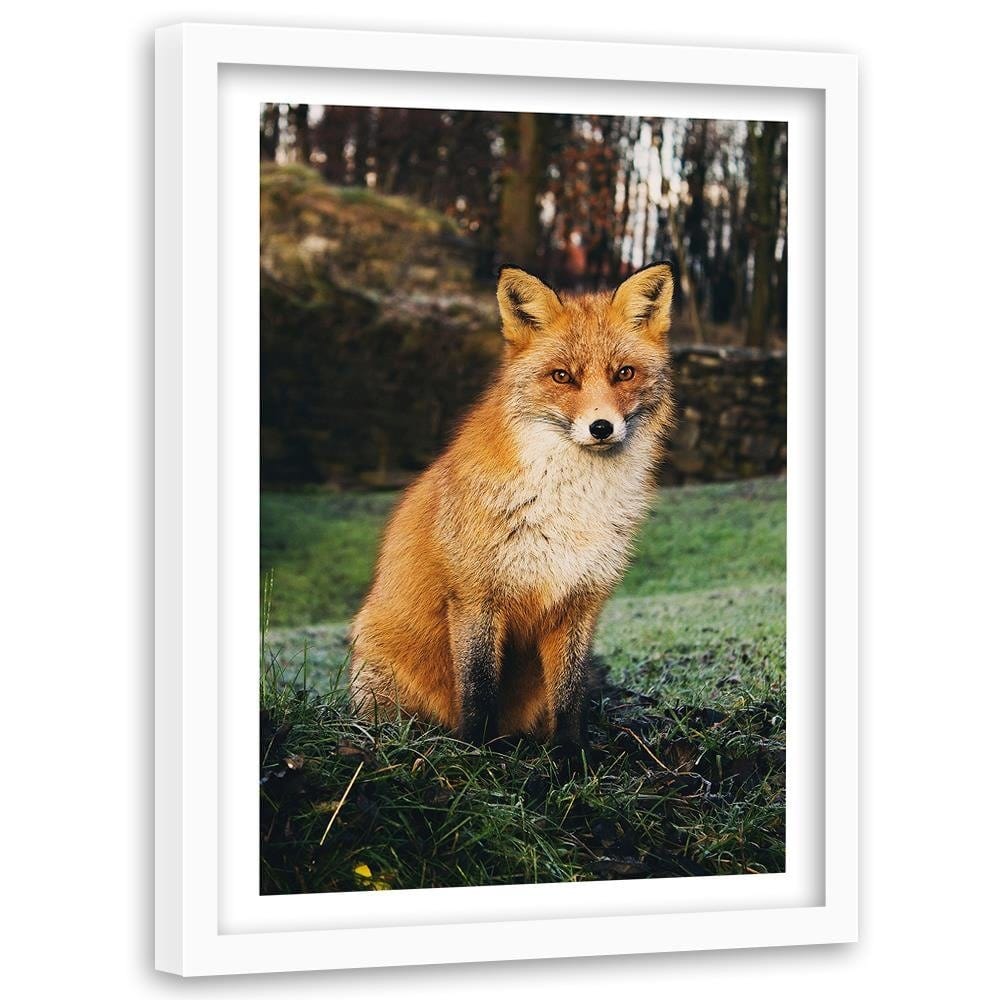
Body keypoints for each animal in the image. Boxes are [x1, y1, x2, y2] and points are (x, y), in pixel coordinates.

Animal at [349, 261, 675, 747]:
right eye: (562, 376)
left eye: (624, 373)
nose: (601, 427)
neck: (569, 508)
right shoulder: (475, 596)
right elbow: (479, 688)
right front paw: (476, 751)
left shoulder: (580, 601)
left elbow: (569, 696)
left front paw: (571, 755)